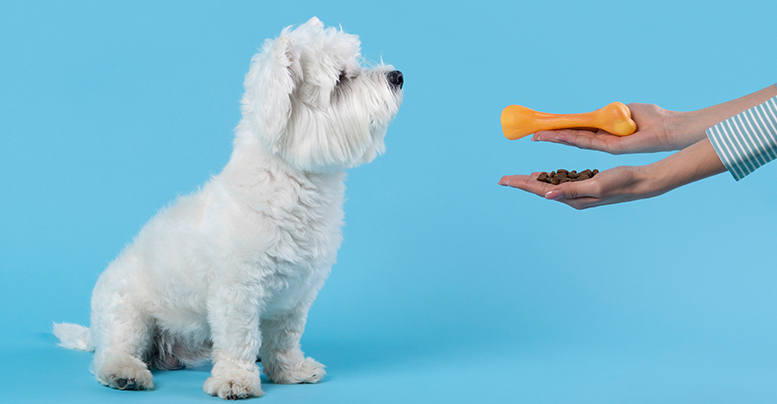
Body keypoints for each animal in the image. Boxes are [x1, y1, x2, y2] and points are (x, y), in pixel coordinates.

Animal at [53, 17, 404, 400]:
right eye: (342, 78)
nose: (397, 75)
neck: (289, 185)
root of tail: (95, 327)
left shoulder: (295, 295)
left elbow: (285, 338)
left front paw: (289, 370)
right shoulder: (237, 291)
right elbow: (239, 339)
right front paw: (236, 379)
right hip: (128, 314)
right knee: (113, 352)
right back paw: (125, 373)